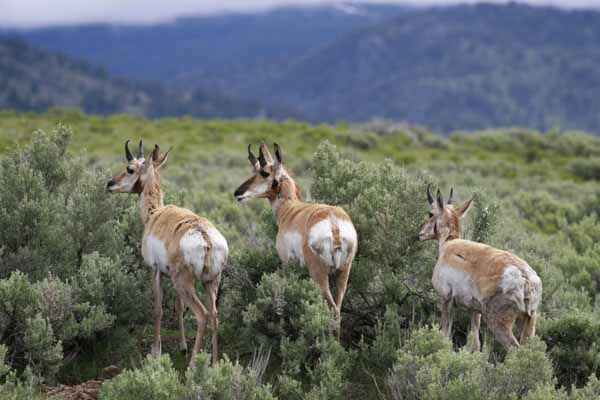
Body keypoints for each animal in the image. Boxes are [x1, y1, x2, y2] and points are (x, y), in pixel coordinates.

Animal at [105, 140, 227, 366]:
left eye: (130, 169)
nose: (110, 183)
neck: (155, 214)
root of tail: (204, 236)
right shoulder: (170, 276)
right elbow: (178, 307)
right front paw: (182, 346)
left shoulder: (155, 271)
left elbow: (157, 309)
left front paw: (155, 352)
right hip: (210, 282)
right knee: (214, 314)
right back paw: (215, 364)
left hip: (184, 283)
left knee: (202, 315)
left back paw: (193, 365)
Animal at [233, 142, 356, 336]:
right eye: (254, 170)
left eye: (264, 173)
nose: (238, 193)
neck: (291, 209)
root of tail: (333, 221)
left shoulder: (287, 263)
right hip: (343, 272)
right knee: (338, 310)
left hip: (319, 275)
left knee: (332, 310)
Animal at [418, 186, 544, 348]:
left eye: (430, 213)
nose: (419, 234)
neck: (449, 243)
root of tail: (525, 276)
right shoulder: (475, 310)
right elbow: (475, 341)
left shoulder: (446, 300)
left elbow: (445, 333)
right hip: (529, 321)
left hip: (498, 323)